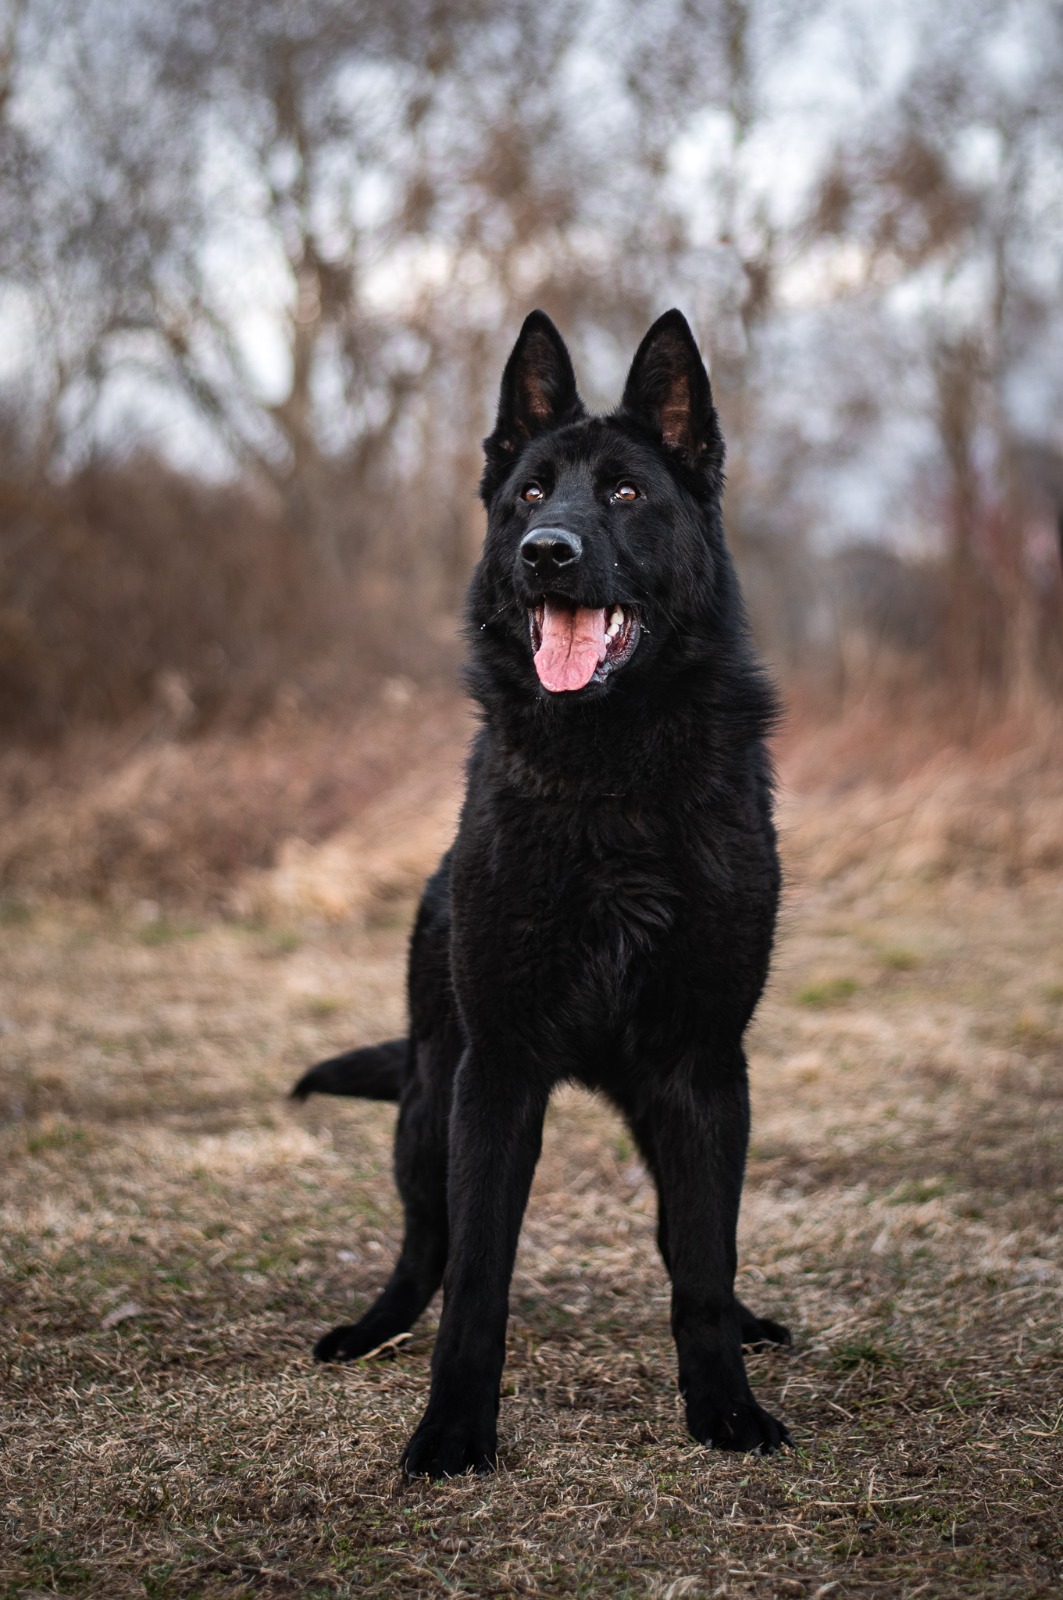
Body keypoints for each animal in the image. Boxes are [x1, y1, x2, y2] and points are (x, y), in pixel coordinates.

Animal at [292, 309, 792, 1476]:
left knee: (685, 1236)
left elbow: (703, 1259)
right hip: (428, 1106)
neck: (610, 776)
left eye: (625, 493)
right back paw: (370, 1328)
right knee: (425, 1247)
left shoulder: (703, 1069)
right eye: (528, 494)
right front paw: (451, 1433)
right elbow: (479, 1274)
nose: (545, 554)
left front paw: (724, 1409)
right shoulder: (499, 1072)